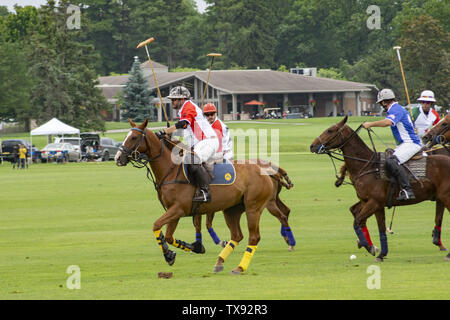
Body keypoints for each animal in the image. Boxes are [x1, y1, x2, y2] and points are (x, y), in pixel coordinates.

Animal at [114, 119, 294, 274]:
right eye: (126, 136)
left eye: (134, 137)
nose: (117, 158)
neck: (170, 170)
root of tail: (265, 170)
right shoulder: (175, 211)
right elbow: (169, 236)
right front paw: (190, 249)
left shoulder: (178, 209)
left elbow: (156, 225)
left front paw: (168, 254)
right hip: (232, 209)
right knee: (238, 235)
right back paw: (220, 262)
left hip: (254, 208)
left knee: (255, 236)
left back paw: (240, 267)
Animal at [310, 116, 450, 262]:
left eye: (330, 130)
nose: (312, 145)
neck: (366, 166)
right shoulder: (374, 204)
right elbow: (379, 228)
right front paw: (380, 253)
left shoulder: (375, 202)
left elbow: (357, 221)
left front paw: (369, 247)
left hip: (446, 197)